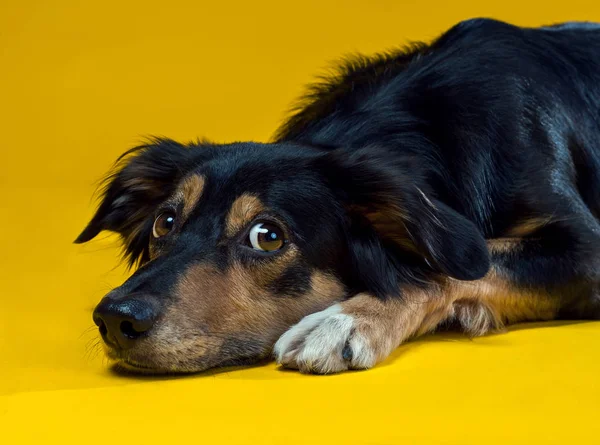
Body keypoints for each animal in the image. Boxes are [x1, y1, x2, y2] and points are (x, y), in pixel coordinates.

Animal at [75, 17, 600, 372]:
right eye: (165, 222)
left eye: (267, 236)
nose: (115, 318)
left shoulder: (586, 249)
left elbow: (434, 266)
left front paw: (345, 320)